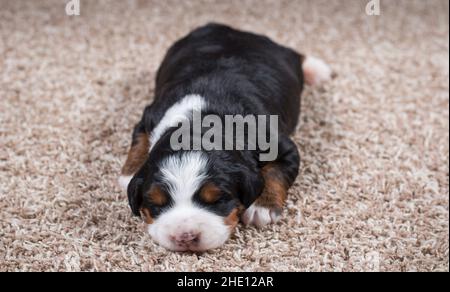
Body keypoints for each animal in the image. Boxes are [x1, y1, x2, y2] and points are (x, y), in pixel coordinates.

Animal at [119, 23, 330, 251]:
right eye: (156, 204)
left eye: (217, 200)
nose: (185, 237)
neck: (200, 123)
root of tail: (234, 29)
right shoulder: (151, 115)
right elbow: (139, 139)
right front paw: (129, 172)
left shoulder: (280, 144)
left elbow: (276, 171)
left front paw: (261, 207)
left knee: (295, 55)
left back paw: (317, 70)